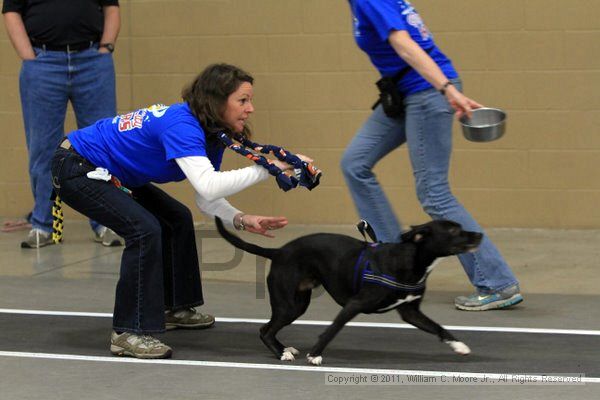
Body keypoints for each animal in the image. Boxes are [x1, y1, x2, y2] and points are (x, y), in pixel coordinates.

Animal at [216, 217, 482, 364]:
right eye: (453, 231)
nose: (479, 234)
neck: (412, 260)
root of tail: (279, 251)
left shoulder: (410, 312)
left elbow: (437, 327)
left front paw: (459, 345)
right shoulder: (354, 305)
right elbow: (331, 331)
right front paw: (315, 355)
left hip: (298, 303)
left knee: (269, 328)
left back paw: (284, 349)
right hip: (289, 304)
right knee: (265, 330)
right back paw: (282, 353)